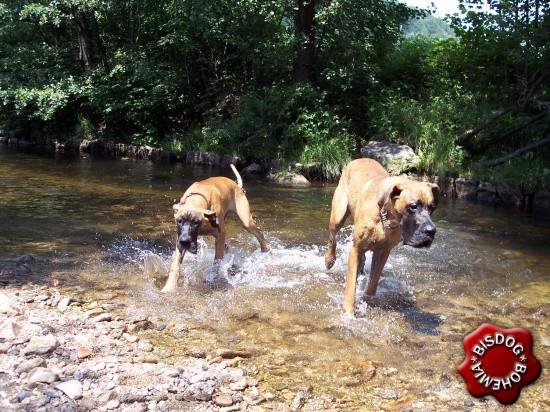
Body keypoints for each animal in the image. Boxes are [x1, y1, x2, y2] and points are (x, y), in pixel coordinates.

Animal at [324, 158, 440, 317]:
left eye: (432, 208)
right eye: (413, 206)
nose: (431, 231)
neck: (386, 218)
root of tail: (358, 159)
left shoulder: (383, 252)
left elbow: (373, 282)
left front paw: (368, 299)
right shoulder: (355, 249)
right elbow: (351, 287)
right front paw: (349, 312)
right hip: (338, 215)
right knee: (332, 238)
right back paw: (329, 259)